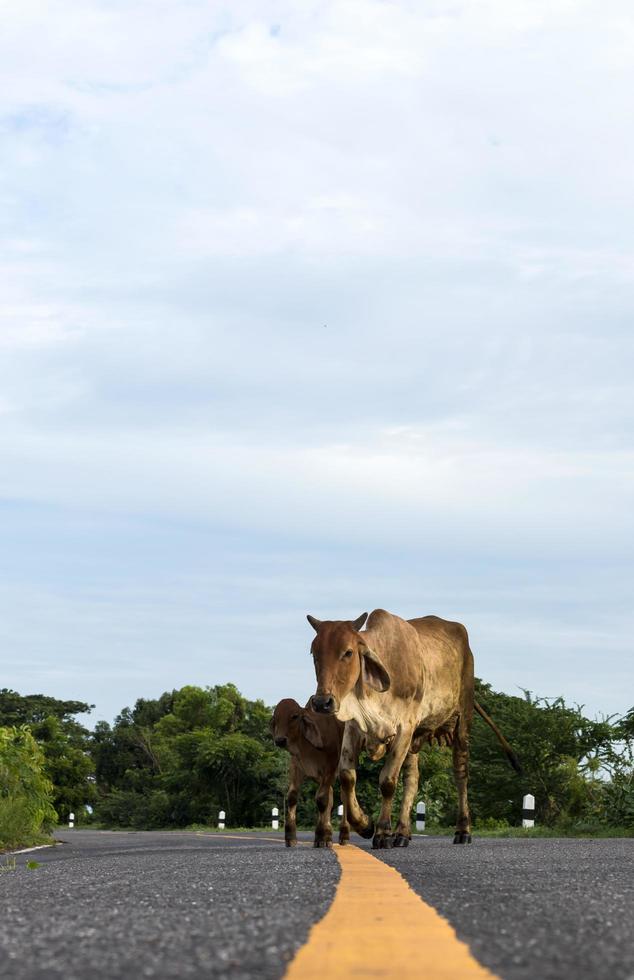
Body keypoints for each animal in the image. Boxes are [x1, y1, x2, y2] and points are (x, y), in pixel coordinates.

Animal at [270, 696, 422, 848]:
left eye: (294, 716)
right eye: (275, 718)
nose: (280, 740)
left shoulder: (330, 769)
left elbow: (322, 799)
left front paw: (322, 837)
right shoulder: (296, 767)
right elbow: (292, 797)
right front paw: (291, 838)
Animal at [304, 608, 520, 848]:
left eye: (348, 652)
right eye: (314, 653)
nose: (322, 702)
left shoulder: (404, 728)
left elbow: (388, 781)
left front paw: (382, 833)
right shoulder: (354, 728)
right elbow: (347, 777)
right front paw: (364, 824)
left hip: (462, 721)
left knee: (460, 774)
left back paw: (463, 830)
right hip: (415, 740)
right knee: (412, 779)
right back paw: (402, 833)